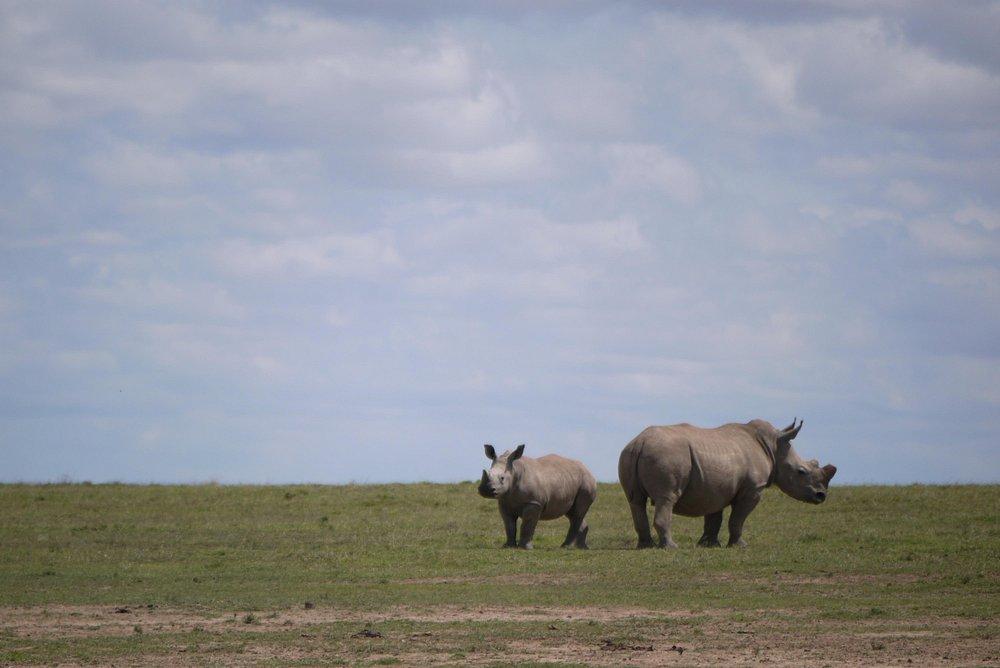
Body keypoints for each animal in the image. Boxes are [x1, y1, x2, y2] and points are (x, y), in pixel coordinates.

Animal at [618, 419, 836, 548]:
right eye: (801, 472)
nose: (821, 495)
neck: (774, 446)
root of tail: (640, 442)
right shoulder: (753, 489)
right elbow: (737, 519)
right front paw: (740, 545)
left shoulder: (715, 487)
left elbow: (714, 517)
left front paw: (709, 544)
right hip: (667, 455)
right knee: (667, 498)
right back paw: (671, 547)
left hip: (629, 454)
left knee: (635, 500)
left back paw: (646, 546)